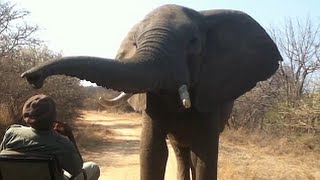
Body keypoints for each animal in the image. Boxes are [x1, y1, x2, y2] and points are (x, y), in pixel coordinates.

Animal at [20, 4, 282, 180]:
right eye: (136, 44)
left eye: (193, 43)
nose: (32, 78)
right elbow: (151, 151)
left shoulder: (211, 92)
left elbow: (206, 156)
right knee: (180, 150)